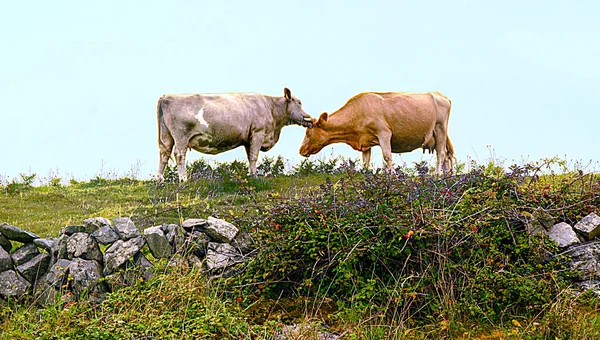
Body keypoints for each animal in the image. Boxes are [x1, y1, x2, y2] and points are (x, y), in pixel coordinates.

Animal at [157, 89, 312, 182]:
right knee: (179, 154)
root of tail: (167, 97)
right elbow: (254, 156)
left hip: (166, 136)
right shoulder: (258, 133)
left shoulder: (248, 139)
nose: (309, 118)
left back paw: (160, 180)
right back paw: (183, 179)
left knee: (164, 154)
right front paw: (255, 176)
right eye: (299, 102)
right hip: (181, 136)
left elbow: (250, 157)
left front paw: (251, 174)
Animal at [300, 91, 454, 174]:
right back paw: (446, 176)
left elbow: (387, 156)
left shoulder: (384, 133)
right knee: (446, 155)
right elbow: (365, 161)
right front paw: (366, 174)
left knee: (441, 153)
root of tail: (441, 96)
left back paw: (437, 174)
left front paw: (392, 174)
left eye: (308, 133)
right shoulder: (365, 142)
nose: (301, 150)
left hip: (440, 128)